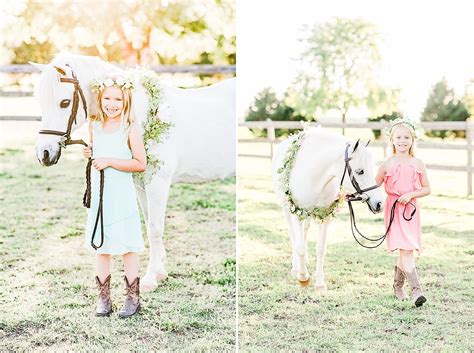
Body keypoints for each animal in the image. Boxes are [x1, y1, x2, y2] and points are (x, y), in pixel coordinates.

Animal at [31, 51, 235, 288]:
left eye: (64, 102)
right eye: (40, 101)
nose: (44, 154)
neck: (144, 114)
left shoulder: (158, 184)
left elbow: (155, 228)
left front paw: (150, 279)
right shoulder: (140, 184)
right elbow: (148, 224)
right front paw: (160, 272)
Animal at [272, 128, 384, 292]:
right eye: (360, 171)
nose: (380, 203)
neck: (313, 175)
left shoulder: (325, 216)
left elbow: (320, 249)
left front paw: (319, 284)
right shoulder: (295, 212)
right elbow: (299, 247)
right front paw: (303, 278)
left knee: (305, 231)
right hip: (287, 209)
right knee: (293, 237)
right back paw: (296, 268)